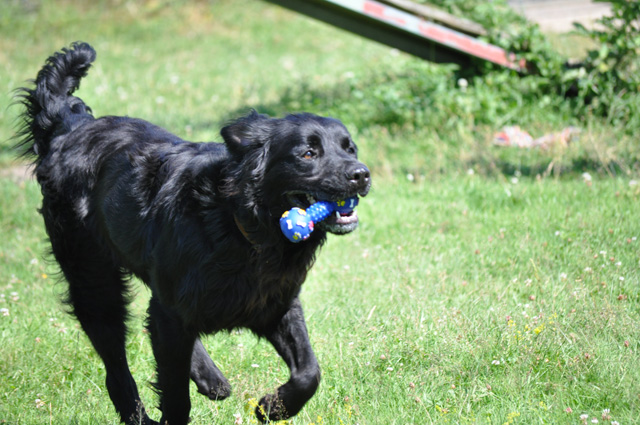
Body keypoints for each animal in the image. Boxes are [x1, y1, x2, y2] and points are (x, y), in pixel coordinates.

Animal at [15, 42, 370, 424]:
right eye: (307, 153)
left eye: (350, 148)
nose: (361, 174)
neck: (240, 225)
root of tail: (71, 128)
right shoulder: (175, 310)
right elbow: (174, 395)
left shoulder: (275, 303)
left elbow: (309, 372)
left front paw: (273, 406)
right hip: (94, 284)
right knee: (117, 366)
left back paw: (210, 377)